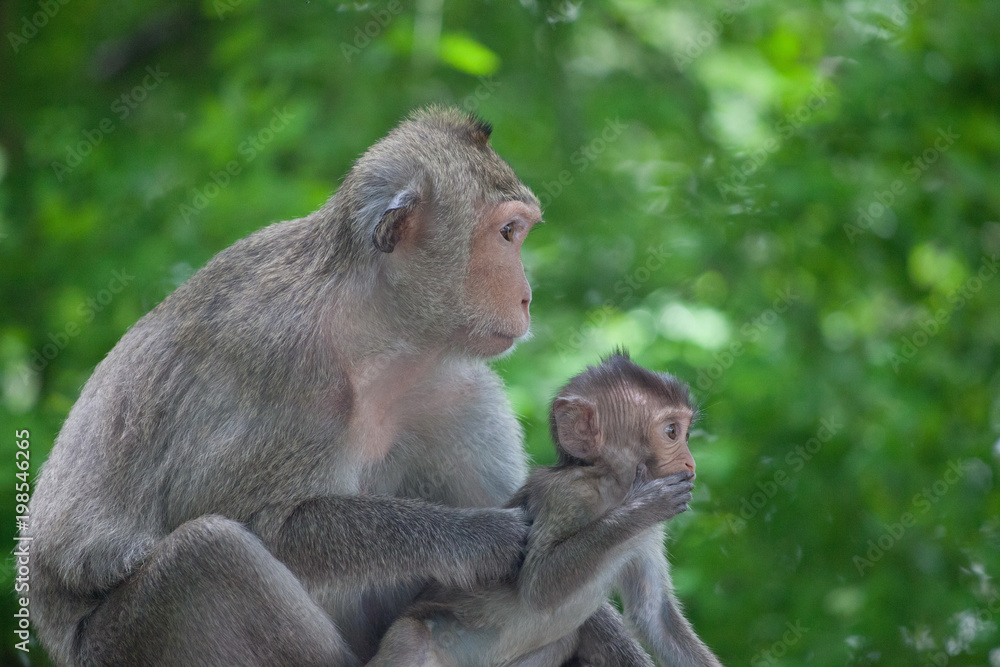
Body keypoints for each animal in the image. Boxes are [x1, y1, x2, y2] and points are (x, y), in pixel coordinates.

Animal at [31, 107, 632, 664]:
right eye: (508, 233)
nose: (527, 296)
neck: (374, 339)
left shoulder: (460, 393)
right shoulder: (278, 363)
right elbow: (256, 520)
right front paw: (482, 537)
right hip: (121, 643)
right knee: (207, 556)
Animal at [368, 352, 720, 664]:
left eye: (686, 433)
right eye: (672, 432)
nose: (691, 462)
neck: (610, 489)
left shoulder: (648, 536)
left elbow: (655, 618)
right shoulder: (565, 496)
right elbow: (539, 587)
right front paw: (643, 506)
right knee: (411, 637)